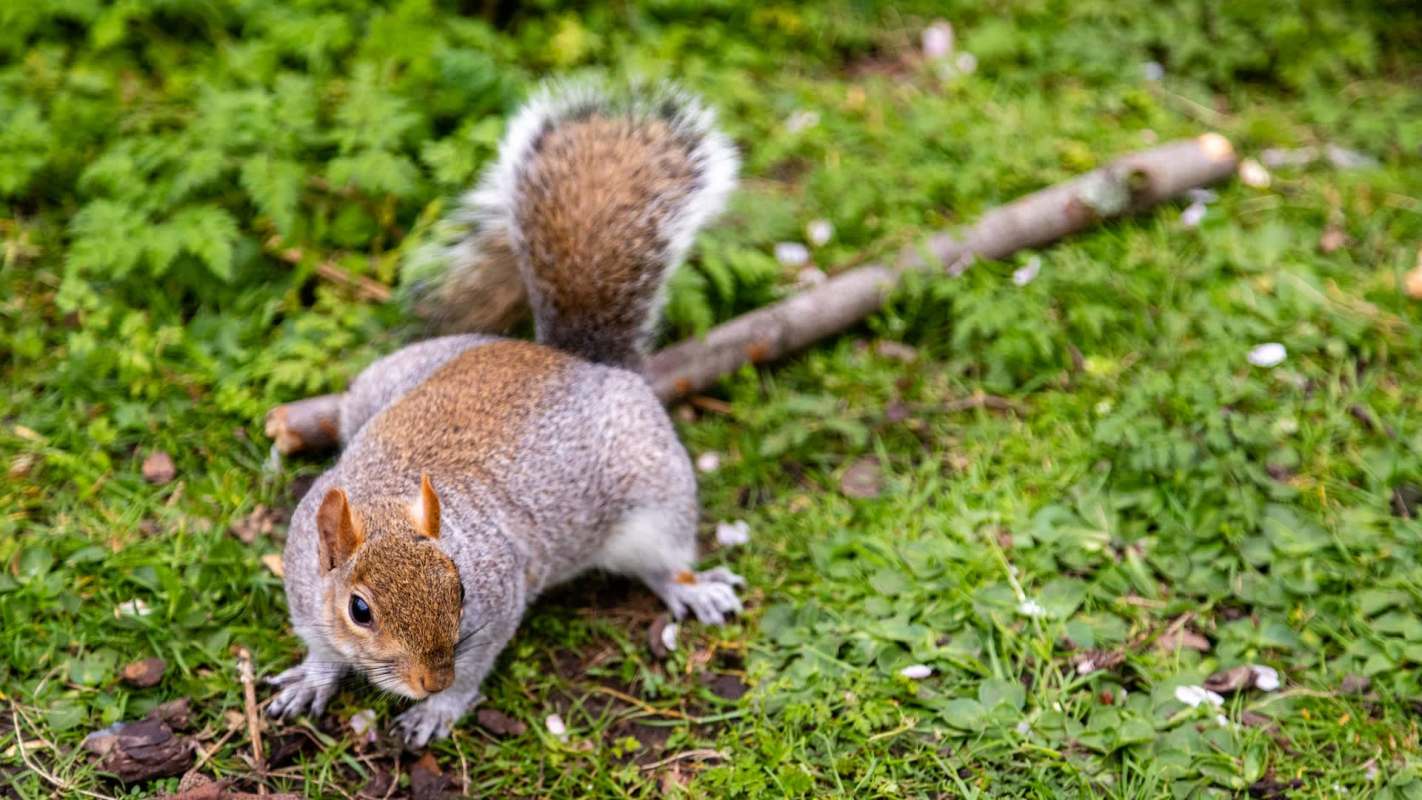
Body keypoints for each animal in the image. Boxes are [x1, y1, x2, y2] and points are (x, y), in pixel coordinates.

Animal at [265, 80, 742, 748]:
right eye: (360, 610)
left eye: (460, 587)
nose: (430, 679)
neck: (382, 496)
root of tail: (575, 359)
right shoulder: (304, 594)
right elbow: (321, 648)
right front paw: (314, 677)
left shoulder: (499, 599)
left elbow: (476, 664)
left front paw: (441, 707)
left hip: (657, 496)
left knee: (664, 561)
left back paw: (690, 589)